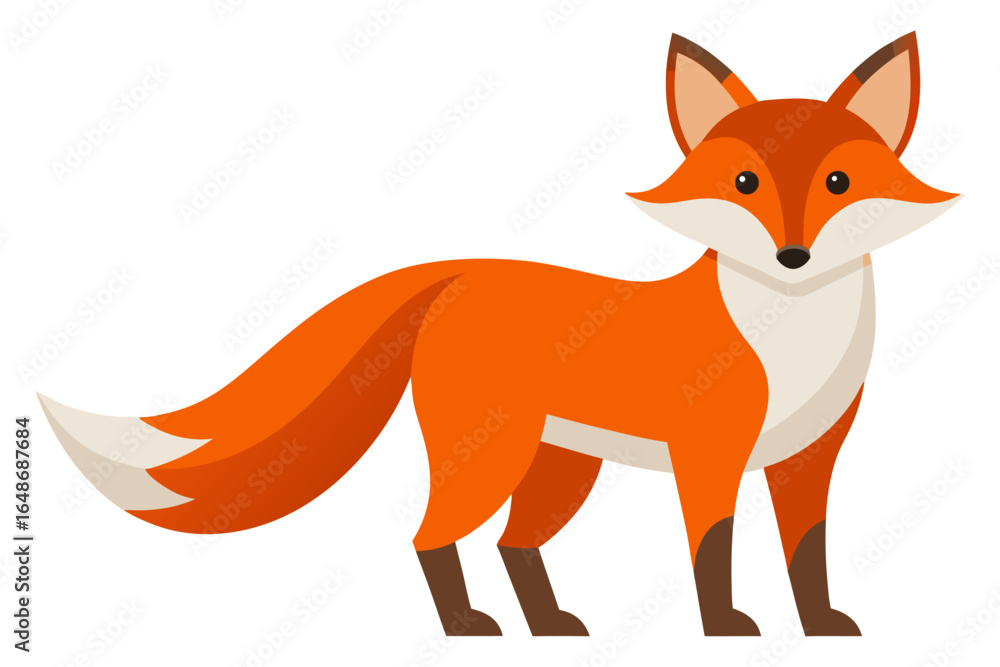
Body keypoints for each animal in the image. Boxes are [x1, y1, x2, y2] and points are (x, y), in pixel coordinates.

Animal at [40, 32, 959, 637]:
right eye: (744, 183)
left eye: (838, 183)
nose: (792, 254)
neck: (789, 333)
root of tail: (458, 273)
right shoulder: (710, 455)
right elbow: (714, 552)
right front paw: (725, 628)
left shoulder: (812, 457)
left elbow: (809, 555)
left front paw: (823, 624)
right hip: (490, 456)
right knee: (431, 535)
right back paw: (465, 626)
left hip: (558, 468)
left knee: (514, 542)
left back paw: (547, 624)